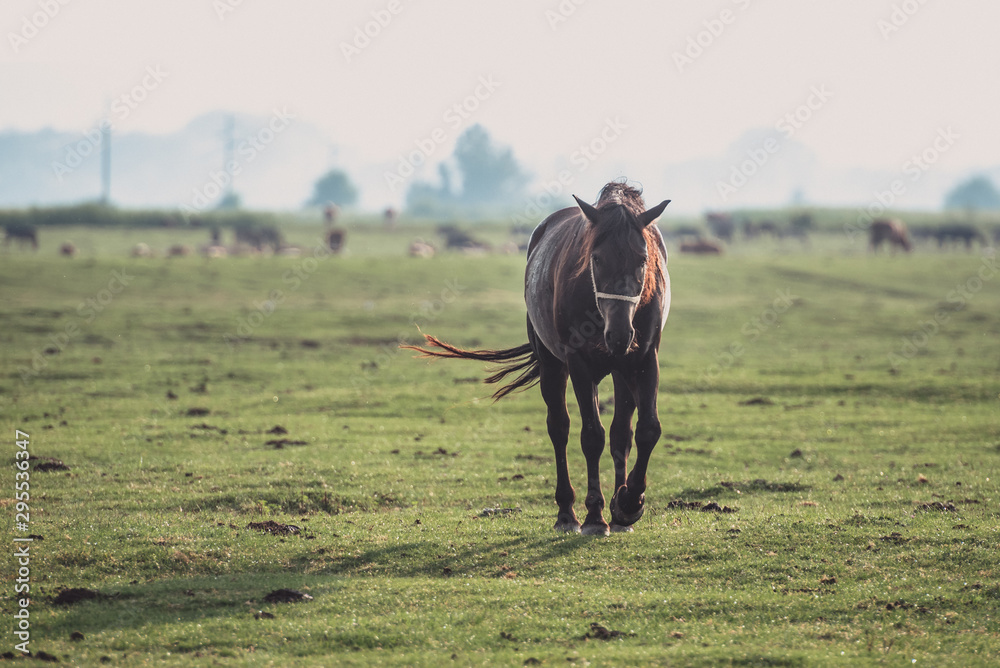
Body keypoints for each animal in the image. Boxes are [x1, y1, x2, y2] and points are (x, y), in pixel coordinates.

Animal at [400, 183, 672, 536]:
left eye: (642, 260)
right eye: (597, 259)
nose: (619, 333)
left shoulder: (644, 358)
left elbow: (647, 430)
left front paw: (628, 504)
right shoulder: (579, 363)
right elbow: (591, 436)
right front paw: (595, 516)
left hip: (621, 370)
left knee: (620, 434)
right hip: (552, 365)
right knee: (560, 427)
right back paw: (567, 514)